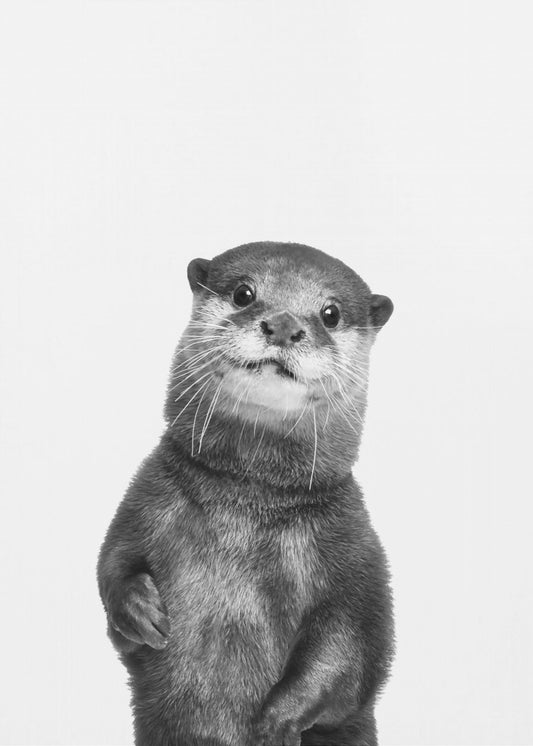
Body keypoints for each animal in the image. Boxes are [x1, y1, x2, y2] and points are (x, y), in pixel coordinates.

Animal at [97, 241, 395, 746]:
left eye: (330, 313)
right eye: (243, 293)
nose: (284, 325)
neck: (246, 506)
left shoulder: (354, 551)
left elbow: (351, 651)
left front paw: (275, 722)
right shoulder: (146, 501)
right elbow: (111, 564)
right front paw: (139, 609)